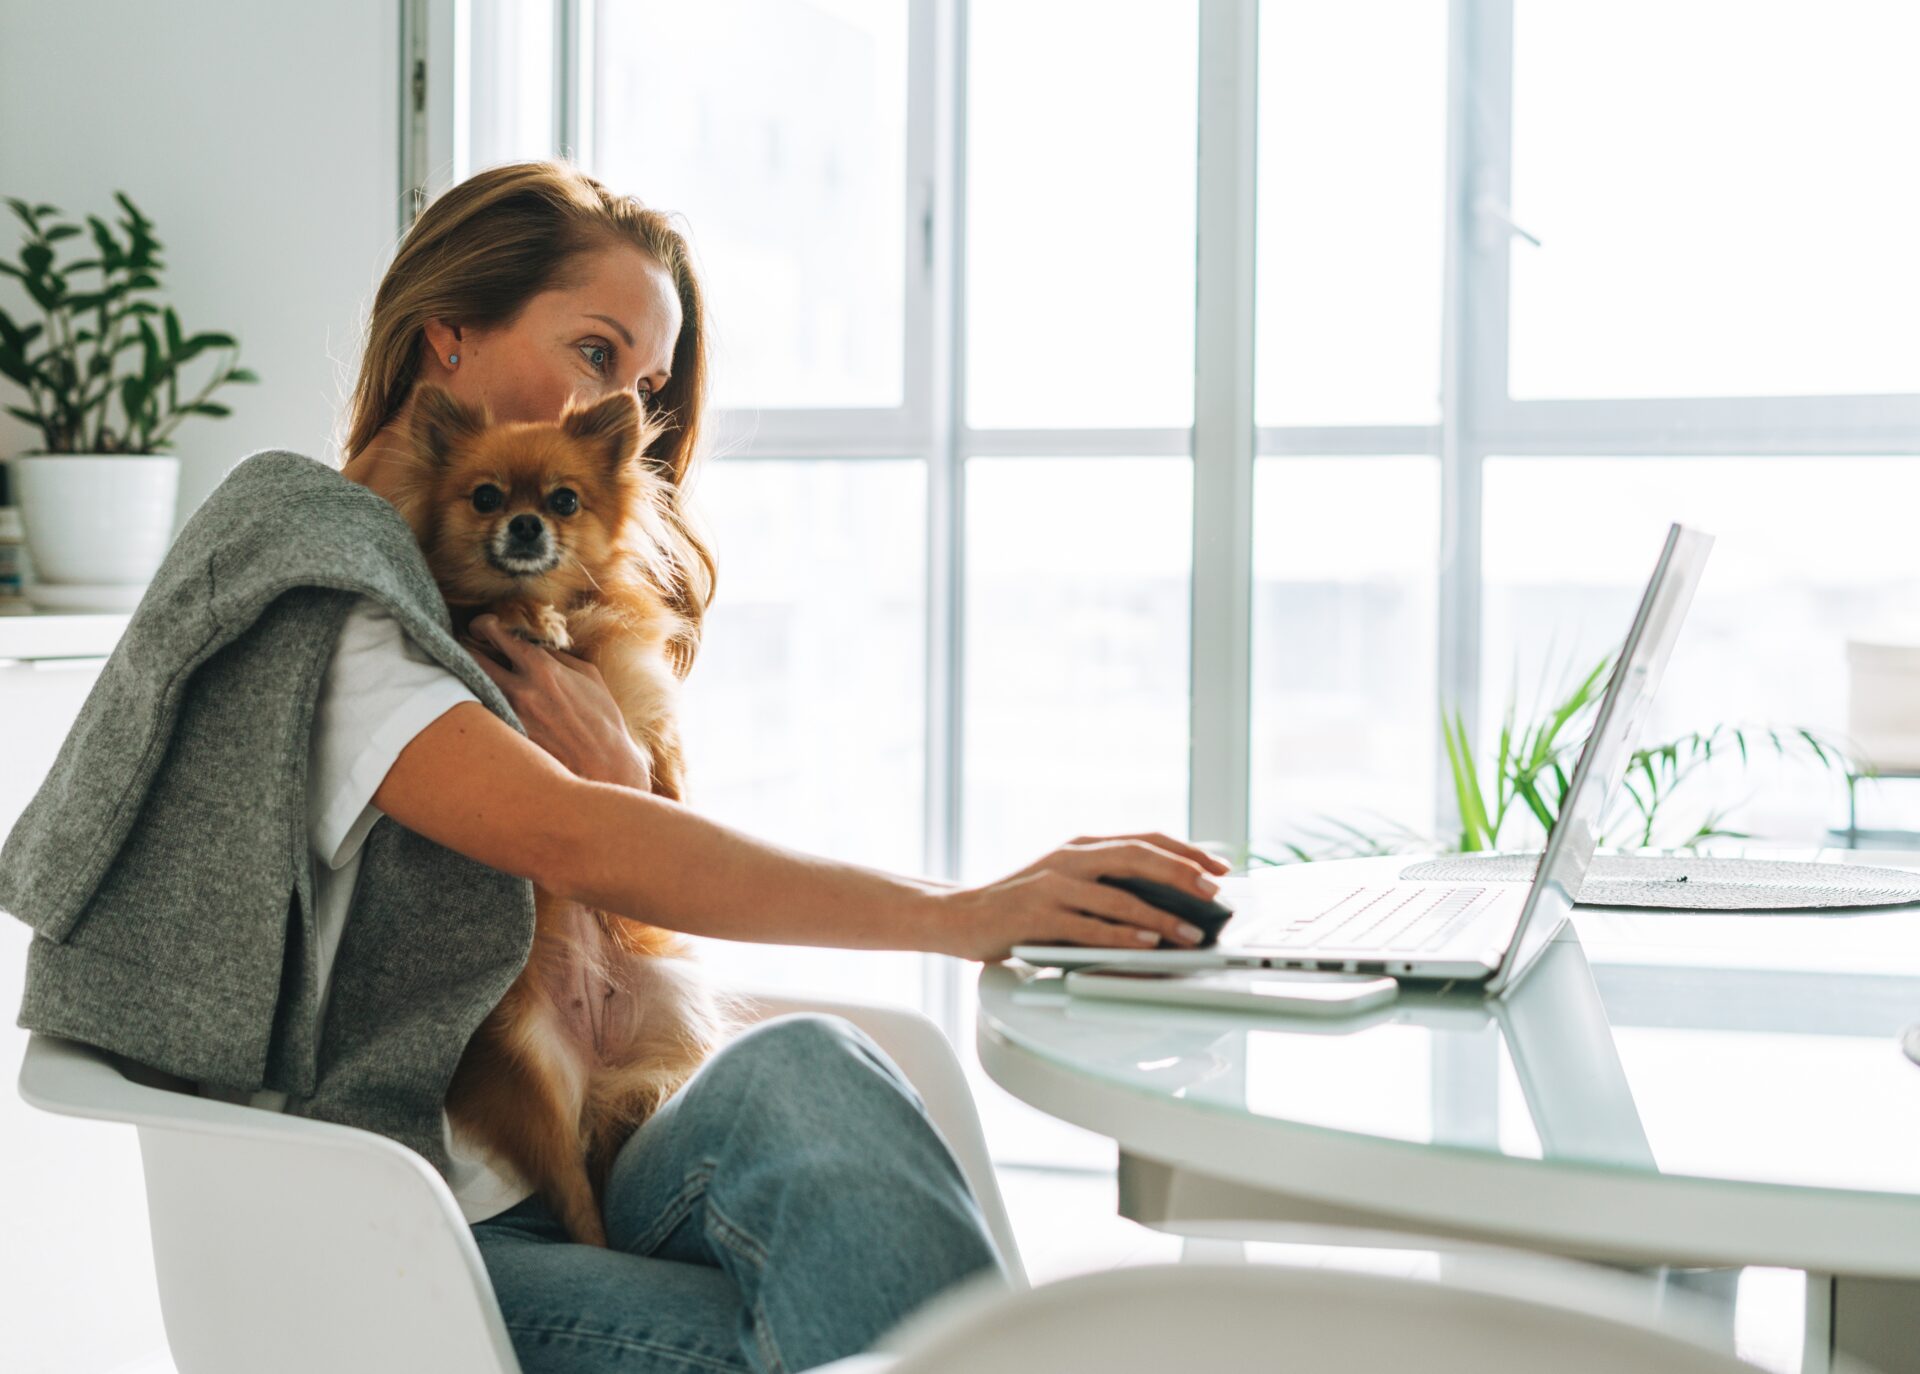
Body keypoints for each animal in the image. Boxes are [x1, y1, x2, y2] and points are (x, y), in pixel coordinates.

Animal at [382, 378, 741, 1243]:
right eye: (485, 497)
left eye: (564, 499)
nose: (524, 523)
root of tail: (597, 1053)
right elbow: (487, 613)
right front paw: (529, 621)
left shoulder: (643, 715)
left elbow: (662, 774)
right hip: (532, 1071)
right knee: (579, 1204)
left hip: (673, 1024)